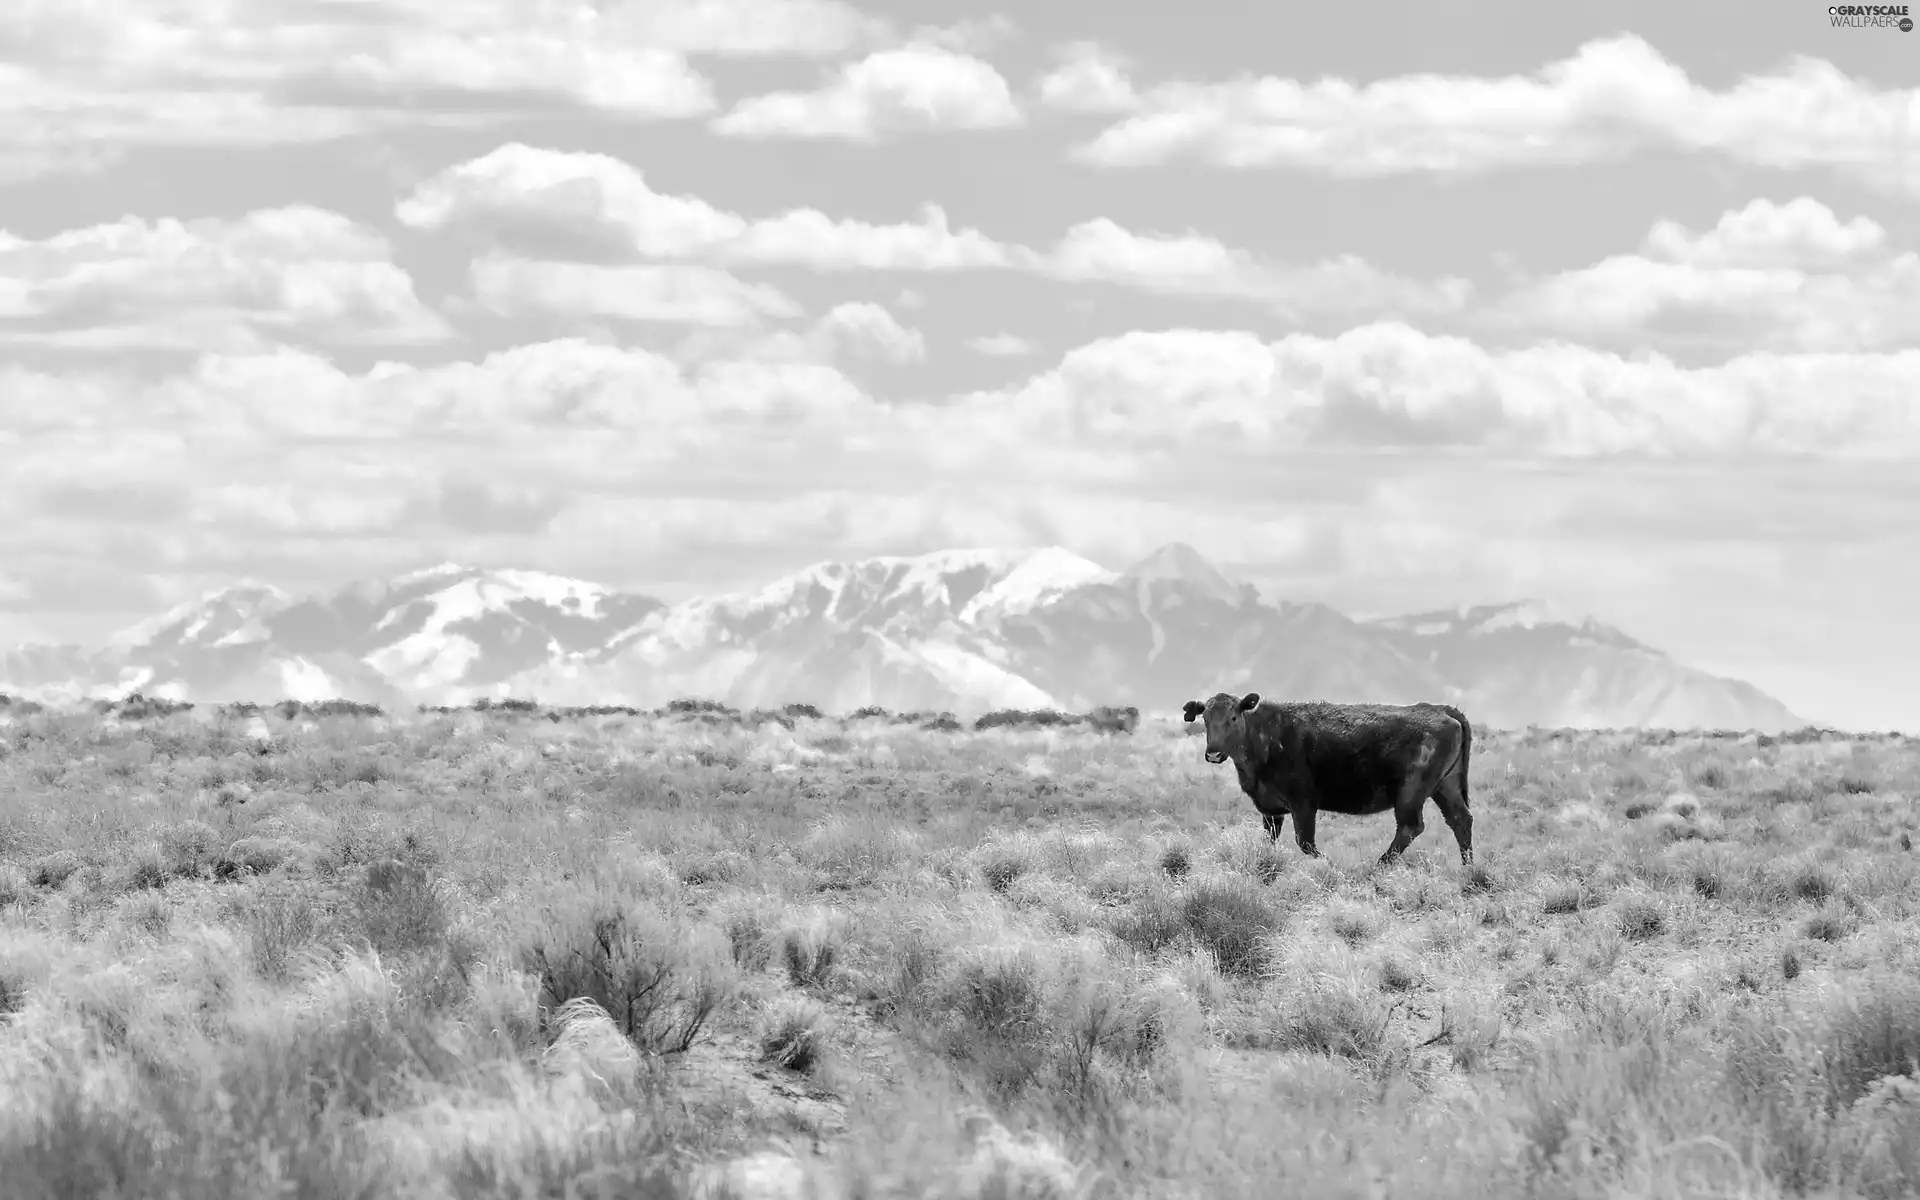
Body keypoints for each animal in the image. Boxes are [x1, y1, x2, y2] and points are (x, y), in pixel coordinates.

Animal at [1175, 687, 1474, 864]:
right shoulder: (1270, 811)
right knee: (1460, 819)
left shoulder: (1303, 803)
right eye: (1205, 719)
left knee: (1411, 826)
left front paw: (1326, 862)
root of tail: (1441, 708)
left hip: (1412, 791)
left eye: (1233, 718)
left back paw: (1378, 866)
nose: (1214, 753)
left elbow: (1305, 842)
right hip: (1445, 786)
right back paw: (1467, 867)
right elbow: (1270, 841)